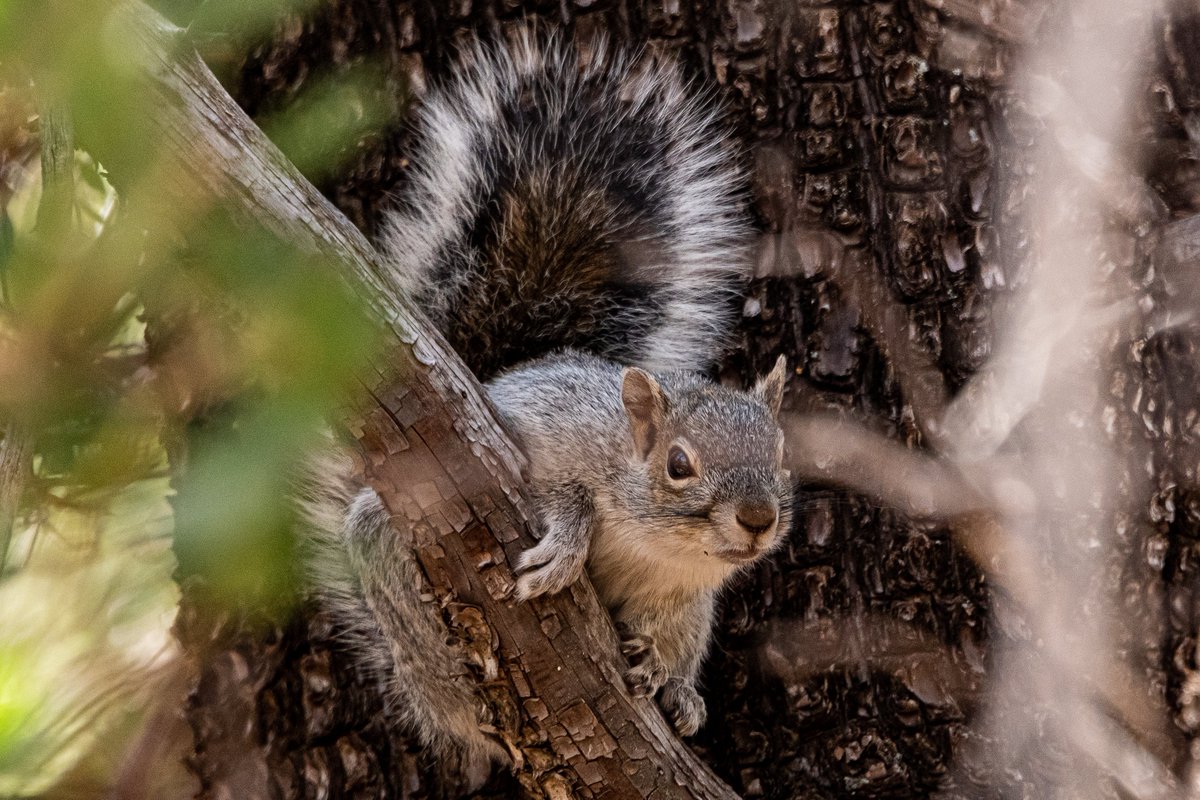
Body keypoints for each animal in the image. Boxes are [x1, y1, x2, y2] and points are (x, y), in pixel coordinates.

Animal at [297, 33, 794, 787]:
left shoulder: (685, 596)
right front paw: (567, 541)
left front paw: (672, 684)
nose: (758, 520)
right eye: (678, 464)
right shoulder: (537, 438)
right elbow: (557, 491)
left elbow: (675, 636)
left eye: (782, 453)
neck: (655, 540)